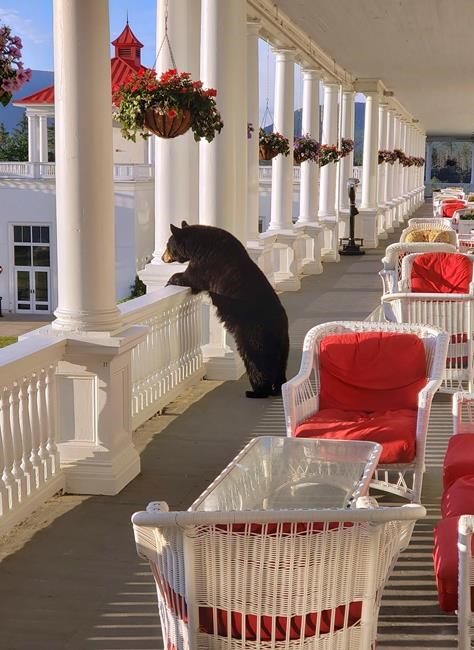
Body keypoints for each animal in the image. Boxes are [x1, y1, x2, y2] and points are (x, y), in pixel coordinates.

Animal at [162, 221, 289, 398]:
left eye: (167, 245)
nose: (162, 257)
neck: (197, 245)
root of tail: (280, 325)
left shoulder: (205, 264)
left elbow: (191, 278)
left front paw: (170, 280)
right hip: (283, 343)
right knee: (280, 364)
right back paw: (278, 387)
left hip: (254, 333)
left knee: (256, 358)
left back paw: (257, 391)